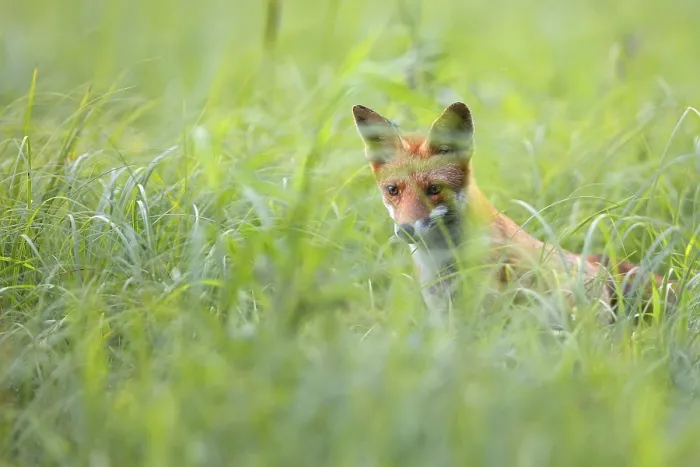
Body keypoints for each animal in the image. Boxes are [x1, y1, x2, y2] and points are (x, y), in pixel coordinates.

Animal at [351, 101, 678, 326]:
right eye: (393, 190)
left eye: (433, 189)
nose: (406, 229)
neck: (443, 262)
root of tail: (598, 266)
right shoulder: (444, 316)